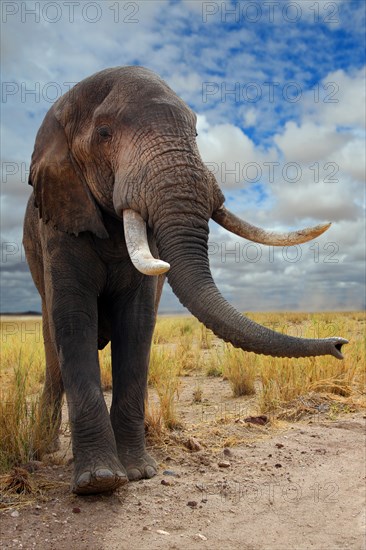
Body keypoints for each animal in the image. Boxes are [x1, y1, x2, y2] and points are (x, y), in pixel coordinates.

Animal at [21, 66, 348, 496]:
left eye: (194, 133)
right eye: (104, 133)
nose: (341, 345)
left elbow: (138, 324)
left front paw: (139, 472)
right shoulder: (59, 217)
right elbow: (73, 321)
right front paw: (99, 482)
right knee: (52, 350)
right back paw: (42, 450)